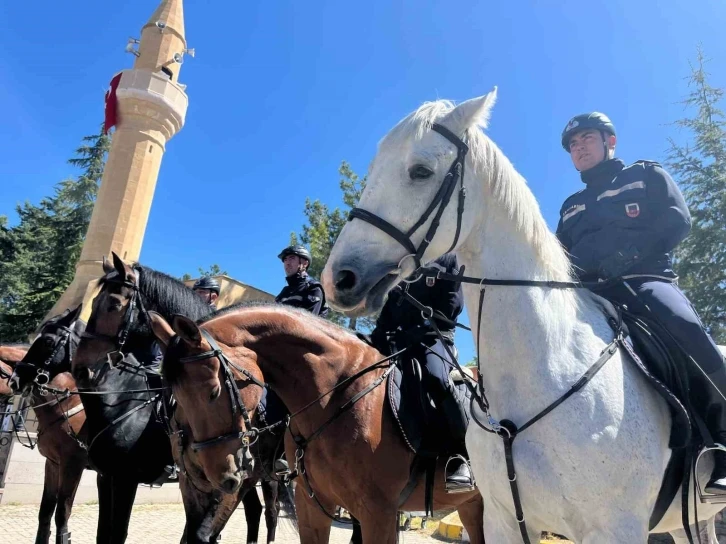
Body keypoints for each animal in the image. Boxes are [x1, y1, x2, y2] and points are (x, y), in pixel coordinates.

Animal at [150, 302, 486, 544]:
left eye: (213, 392)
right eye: (175, 398)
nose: (218, 475)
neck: (335, 396)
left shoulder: (378, 513)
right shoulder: (312, 506)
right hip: (473, 504)